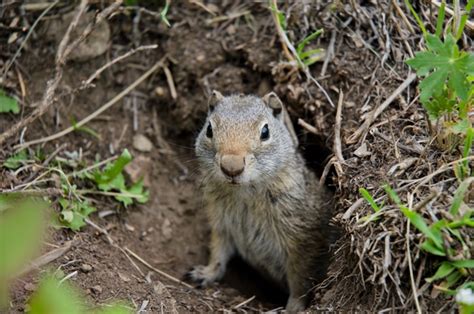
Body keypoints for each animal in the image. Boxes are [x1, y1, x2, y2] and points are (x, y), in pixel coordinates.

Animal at [187, 91, 336, 312]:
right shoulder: (221, 223)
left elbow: (300, 278)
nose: (231, 167)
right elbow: (218, 252)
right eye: (209, 129)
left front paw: (293, 307)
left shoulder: (303, 240)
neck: (245, 193)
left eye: (265, 131)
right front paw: (206, 273)